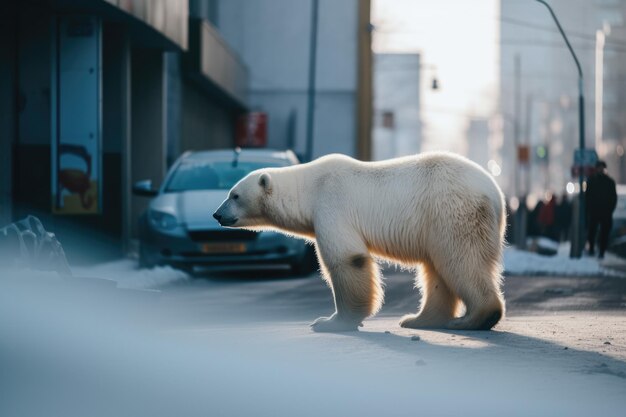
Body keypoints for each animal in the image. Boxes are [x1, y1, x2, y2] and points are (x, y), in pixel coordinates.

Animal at [212, 152, 504, 332]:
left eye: (234, 195)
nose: (217, 214)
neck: (309, 187)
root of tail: (496, 195)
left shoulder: (331, 205)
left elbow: (347, 259)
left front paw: (331, 322)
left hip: (452, 210)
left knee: (460, 261)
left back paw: (472, 319)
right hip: (435, 224)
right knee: (435, 270)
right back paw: (419, 319)